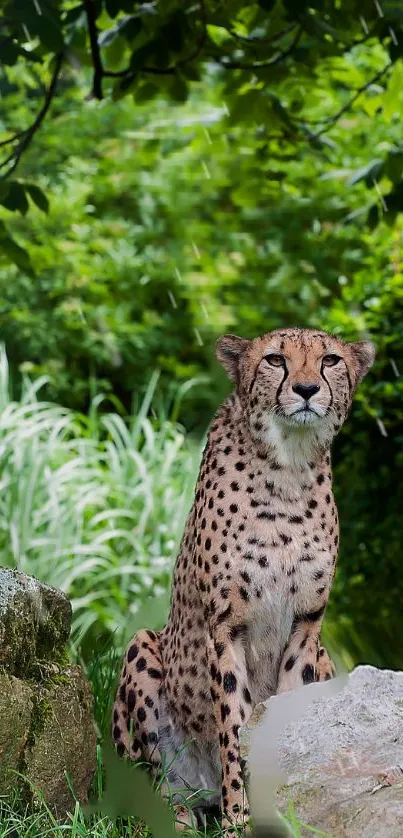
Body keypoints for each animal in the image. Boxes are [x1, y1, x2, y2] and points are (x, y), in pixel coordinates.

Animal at [113, 328, 376, 832]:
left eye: (330, 360)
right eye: (275, 359)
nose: (306, 390)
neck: (289, 467)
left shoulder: (306, 626)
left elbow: (288, 717)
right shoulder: (226, 627)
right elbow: (233, 727)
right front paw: (240, 820)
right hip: (143, 649)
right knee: (151, 792)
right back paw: (183, 816)